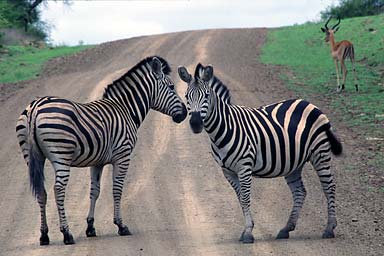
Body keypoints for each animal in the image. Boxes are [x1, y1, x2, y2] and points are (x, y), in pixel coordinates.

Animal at [16, 56, 188, 246]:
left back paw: (44, 235)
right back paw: (67, 233)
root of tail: (35, 108)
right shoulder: (123, 156)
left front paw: (90, 227)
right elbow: (117, 189)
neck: (126, 109)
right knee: (58, 189)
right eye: (171, 87)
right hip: (61, 154)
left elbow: (94, 191)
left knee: (41, 191)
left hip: (32, 156)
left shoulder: (96, 162)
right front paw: (121, 225)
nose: (185, 114)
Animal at [178, 64, 344, 244]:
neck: (224, 128)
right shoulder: (228, 171)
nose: (195, 124)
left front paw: (248, 233)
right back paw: (286, 229)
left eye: (207, 96)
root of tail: (309, 104)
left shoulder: (244, 167)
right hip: (294, 163)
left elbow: (245, 198)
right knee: (300, 192)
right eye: (186, 96)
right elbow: (240, 199)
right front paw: (247, 229)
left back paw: (329, 228)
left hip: (320, 154)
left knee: (329, 187)